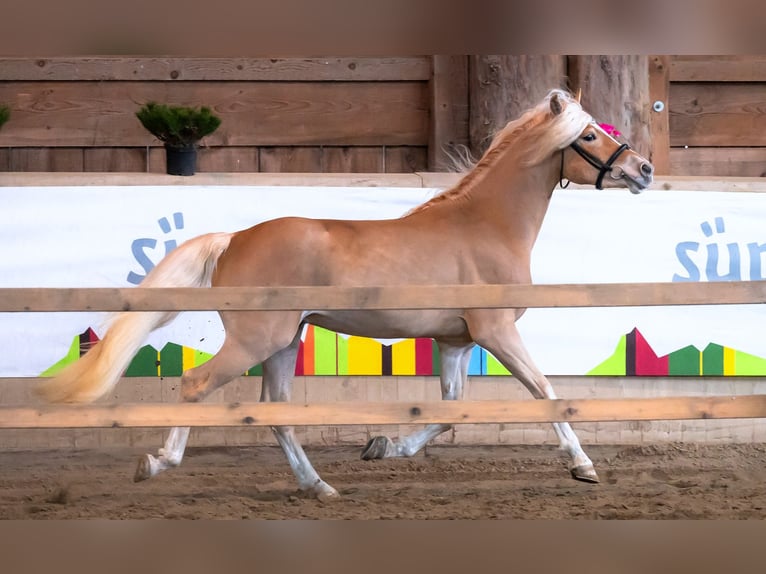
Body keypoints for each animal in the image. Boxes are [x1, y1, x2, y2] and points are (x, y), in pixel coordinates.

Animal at [39, 89, 656, 500]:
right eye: (588, 135)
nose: (644, 169)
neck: (486, 224)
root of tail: (235, 238)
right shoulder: (497, 331)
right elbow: (545, 391)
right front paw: (584, 466)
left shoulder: (456, 341)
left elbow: (449, 410)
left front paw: (382, 446)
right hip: (257, 340)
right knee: (195, 385)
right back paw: (157, 462)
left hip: (285, 342)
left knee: (276, 412)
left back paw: (319, 487)